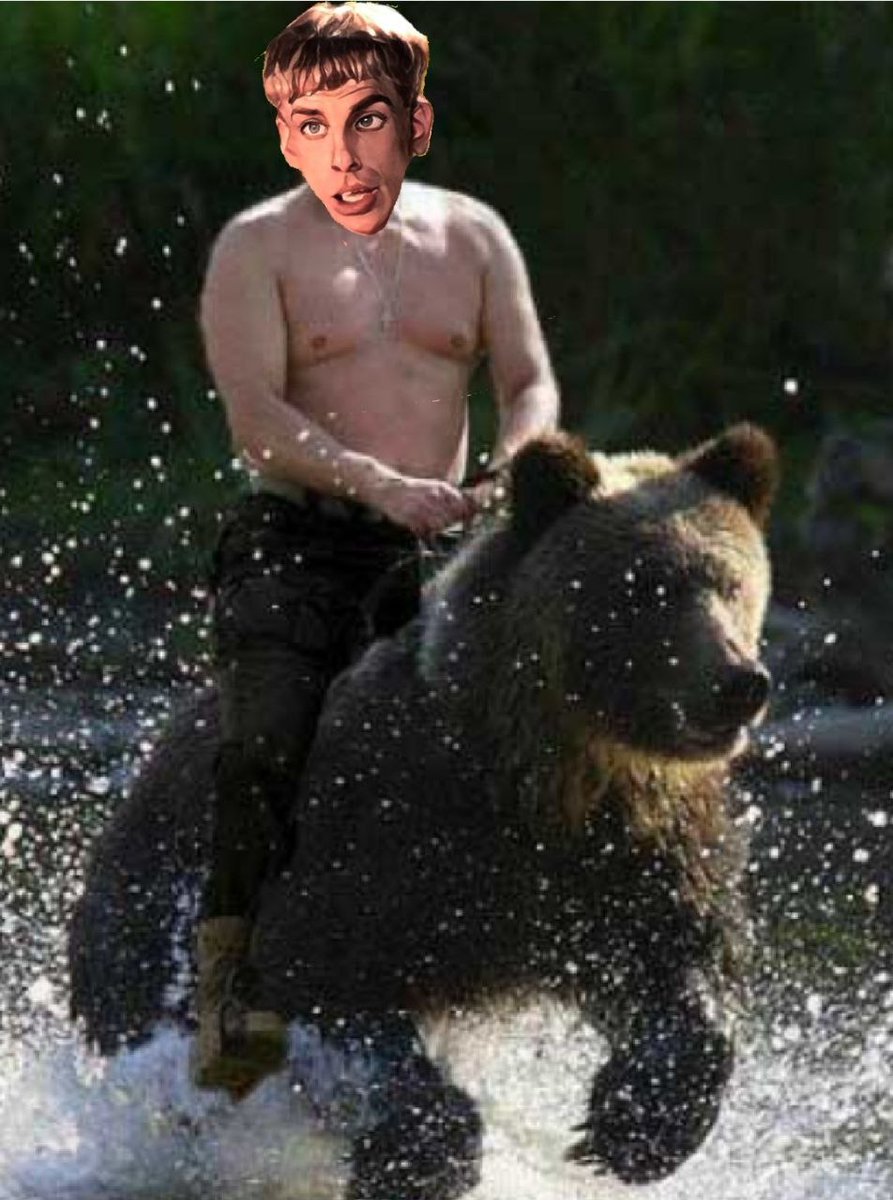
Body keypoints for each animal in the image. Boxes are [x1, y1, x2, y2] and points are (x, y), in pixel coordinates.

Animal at [69, 424, 777, 1197]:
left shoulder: (626, 849)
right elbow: (322, 977)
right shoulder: (383, 825)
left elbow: (675, 959)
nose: (738, 681)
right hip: (151, 904)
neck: (544, 770)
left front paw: (632, 1124)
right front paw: (422, 1154)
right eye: (648, 588)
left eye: (732, 582)